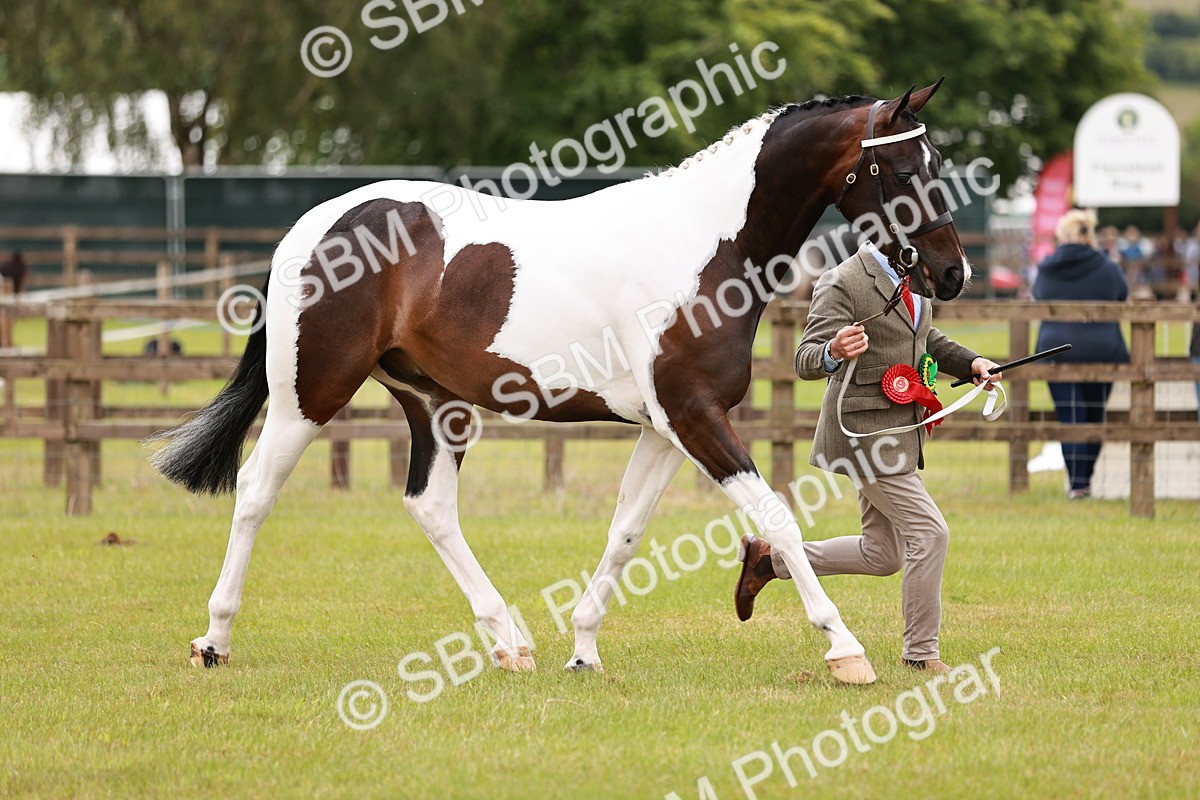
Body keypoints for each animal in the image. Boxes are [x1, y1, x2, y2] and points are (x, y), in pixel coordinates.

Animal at [148, 79, 971, 685]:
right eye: (904, 171)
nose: (951, 273)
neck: (705, 247)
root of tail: (310, 226)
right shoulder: (695, 416)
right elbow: (776, 518)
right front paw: (843, 648)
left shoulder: (667, 427)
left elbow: (627, 531)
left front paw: (583, 648)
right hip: (308, 396)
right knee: (255, 491)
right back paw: (214, 640)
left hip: (435, 405)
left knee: (430, 507)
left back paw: (509, 642)